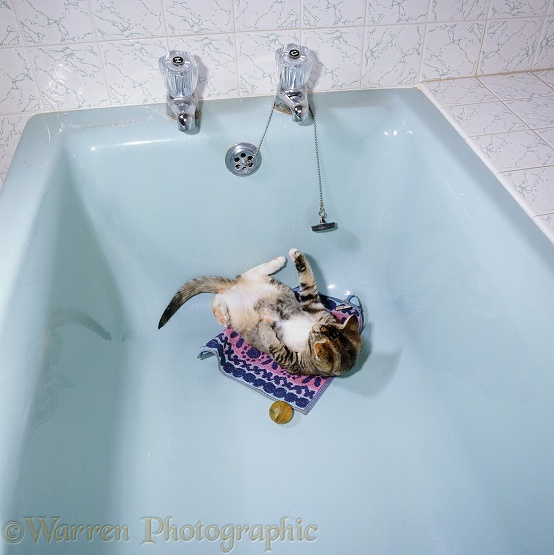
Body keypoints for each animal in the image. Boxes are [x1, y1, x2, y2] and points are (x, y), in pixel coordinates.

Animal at [157, 249, 360, 376]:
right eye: (316, 329)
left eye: (314, 334)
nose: (314, 328)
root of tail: (236, 288)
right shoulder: (316, 309)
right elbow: (309, 284)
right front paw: (298, 256)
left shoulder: (291, 361)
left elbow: (274, 345)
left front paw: (265, 326)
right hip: (263, 280)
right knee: (244, 276)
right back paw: (279, 260)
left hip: (236, 306)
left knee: (218, 297)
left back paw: (223, 315)